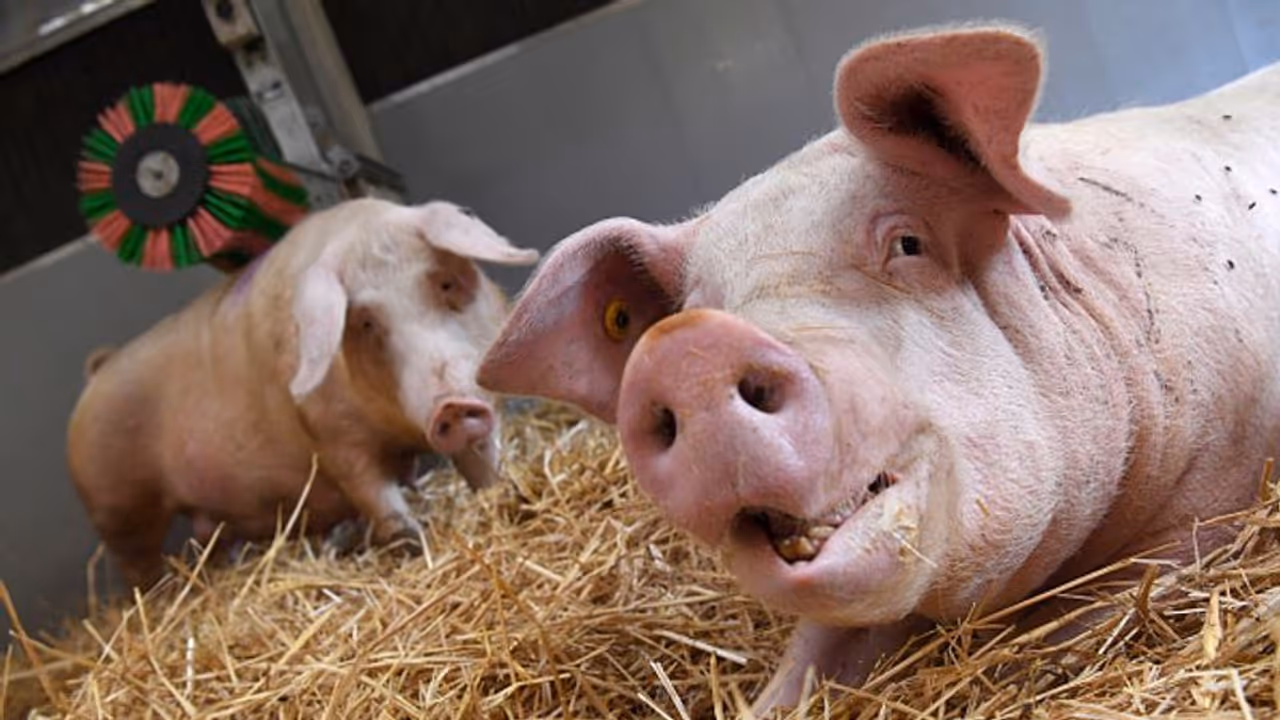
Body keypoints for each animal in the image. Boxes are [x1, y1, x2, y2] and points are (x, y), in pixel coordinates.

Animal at [67, 198, 538, 588]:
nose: (452, 407)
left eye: (444, 284)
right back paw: (164, 593)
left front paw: (507, 500)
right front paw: (413, 544)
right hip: (118, 507)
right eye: (366, 322)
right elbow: (378, 499)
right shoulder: (334, 441)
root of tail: (97, 373)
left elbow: (484, 469)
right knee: (137, 566)